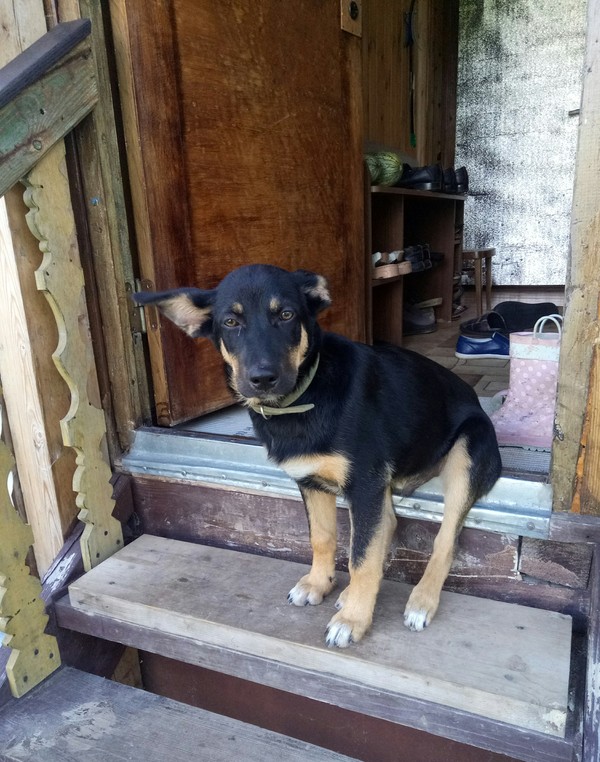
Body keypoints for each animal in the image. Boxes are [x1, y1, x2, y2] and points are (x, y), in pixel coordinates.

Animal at [135, 264, 502, 644]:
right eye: (231, 322)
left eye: (286, 315)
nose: (262, 379)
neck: (301, 399)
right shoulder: (313, 482)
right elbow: (323, 538)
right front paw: (319, 583)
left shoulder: (365, 484)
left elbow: (361, 558)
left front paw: (354, 619)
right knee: (388, 522)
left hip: (467, 454)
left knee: (444, 539)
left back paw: (421, 600)